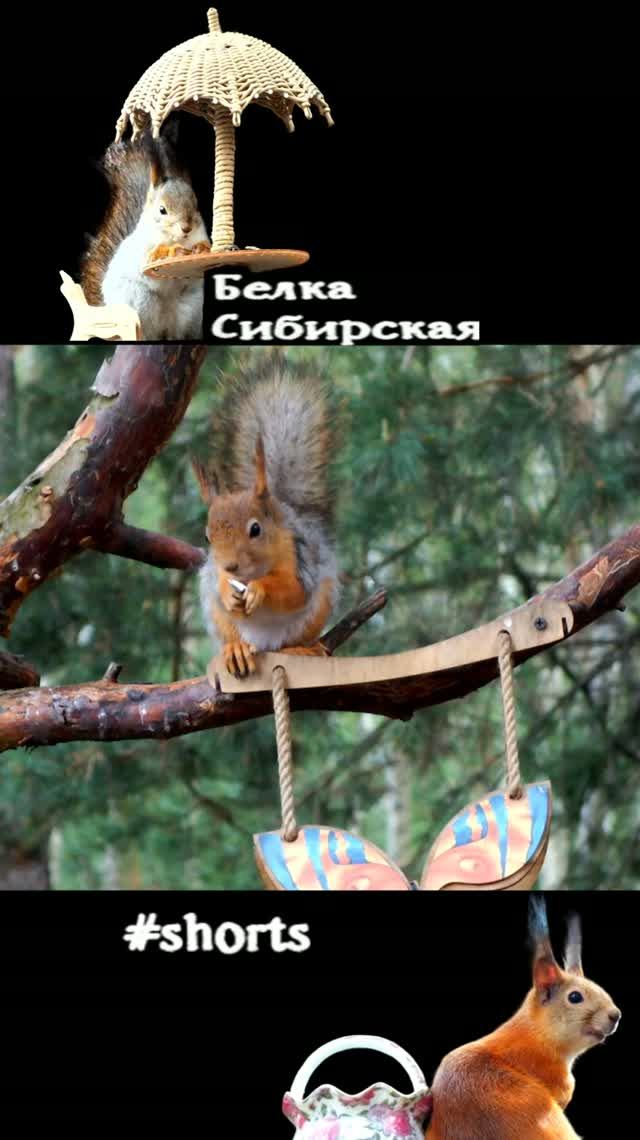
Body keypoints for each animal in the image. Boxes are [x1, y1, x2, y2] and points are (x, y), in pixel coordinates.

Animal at [81, 129, 210, 340]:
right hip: (139, 304)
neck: (177, 239)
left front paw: (200, 249)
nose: (186, 228)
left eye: (197, 206)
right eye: (162, 210)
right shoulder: (141, 252)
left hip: (190, 309)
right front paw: (173, 252)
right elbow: (149, 261)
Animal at [192, 365, 339, 679]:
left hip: (317, 608)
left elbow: (294, 591)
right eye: (207, 537)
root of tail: (263, 643)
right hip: (218, 618)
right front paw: (229, 590)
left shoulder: (299, 556)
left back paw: (300, 649)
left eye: (255, 529)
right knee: (232, 635)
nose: (230, 566)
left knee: (291, 640)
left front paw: (260, 589)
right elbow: (220, 584)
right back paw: (235, 649)